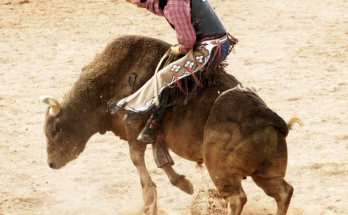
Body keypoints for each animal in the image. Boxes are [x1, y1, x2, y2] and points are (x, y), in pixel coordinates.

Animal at [40, 35, 296, 215]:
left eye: (54, 131)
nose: (51, 163)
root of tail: (264, 117)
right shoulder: (154, 133)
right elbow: (162, 159)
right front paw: (183, 184)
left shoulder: (135, 127)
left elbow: (137, 159)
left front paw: (150, 198)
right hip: (265, 173)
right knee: (283, 192)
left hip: (222, 171)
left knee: (236, 199)